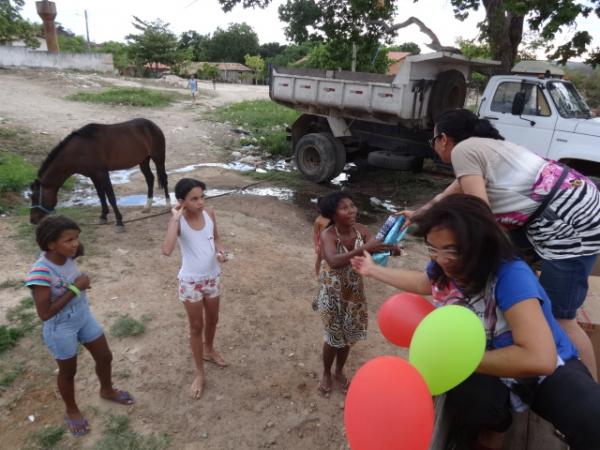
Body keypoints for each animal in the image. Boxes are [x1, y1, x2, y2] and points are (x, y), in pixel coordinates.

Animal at [30, 118, 171, 229]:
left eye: (34, 197)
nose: (32, 220)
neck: (80, 150)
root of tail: (152, 125)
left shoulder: (103, 174)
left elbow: (111, 197)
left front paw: (119, 222)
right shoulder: (93, 175)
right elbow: (101, 195)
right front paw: (103, 216)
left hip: (158, 158)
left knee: (164, 179)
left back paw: (168, 206)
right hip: (143, 160)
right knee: (150, 179)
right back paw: (147, 207)